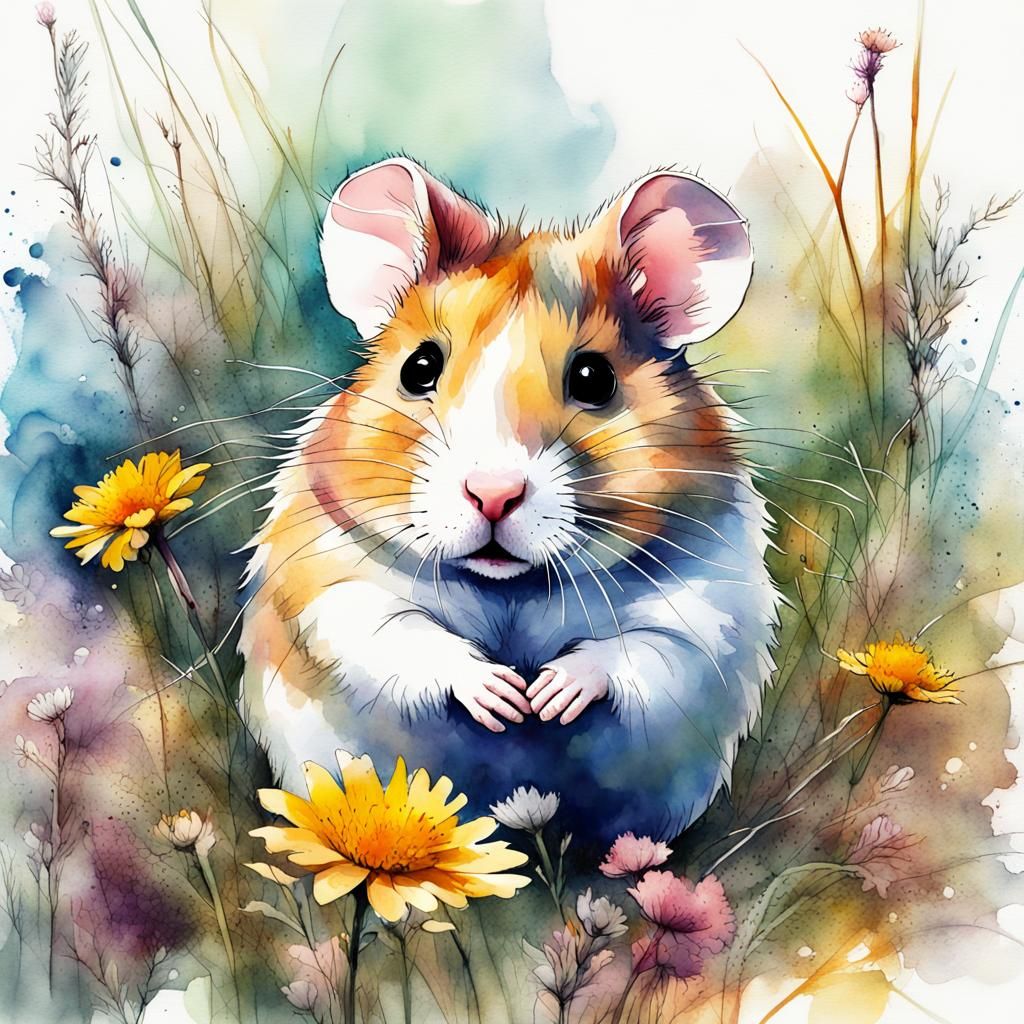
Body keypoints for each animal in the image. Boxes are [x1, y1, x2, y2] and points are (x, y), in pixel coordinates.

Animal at [238, 157, 780, 844]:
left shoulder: (707, 609)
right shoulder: (334, 589)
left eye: (594, 378)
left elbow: (642, 650)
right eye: (419, 368)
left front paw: (546, 697)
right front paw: (504, 698)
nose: (492, 495)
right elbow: (401, 635)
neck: (512, 589)